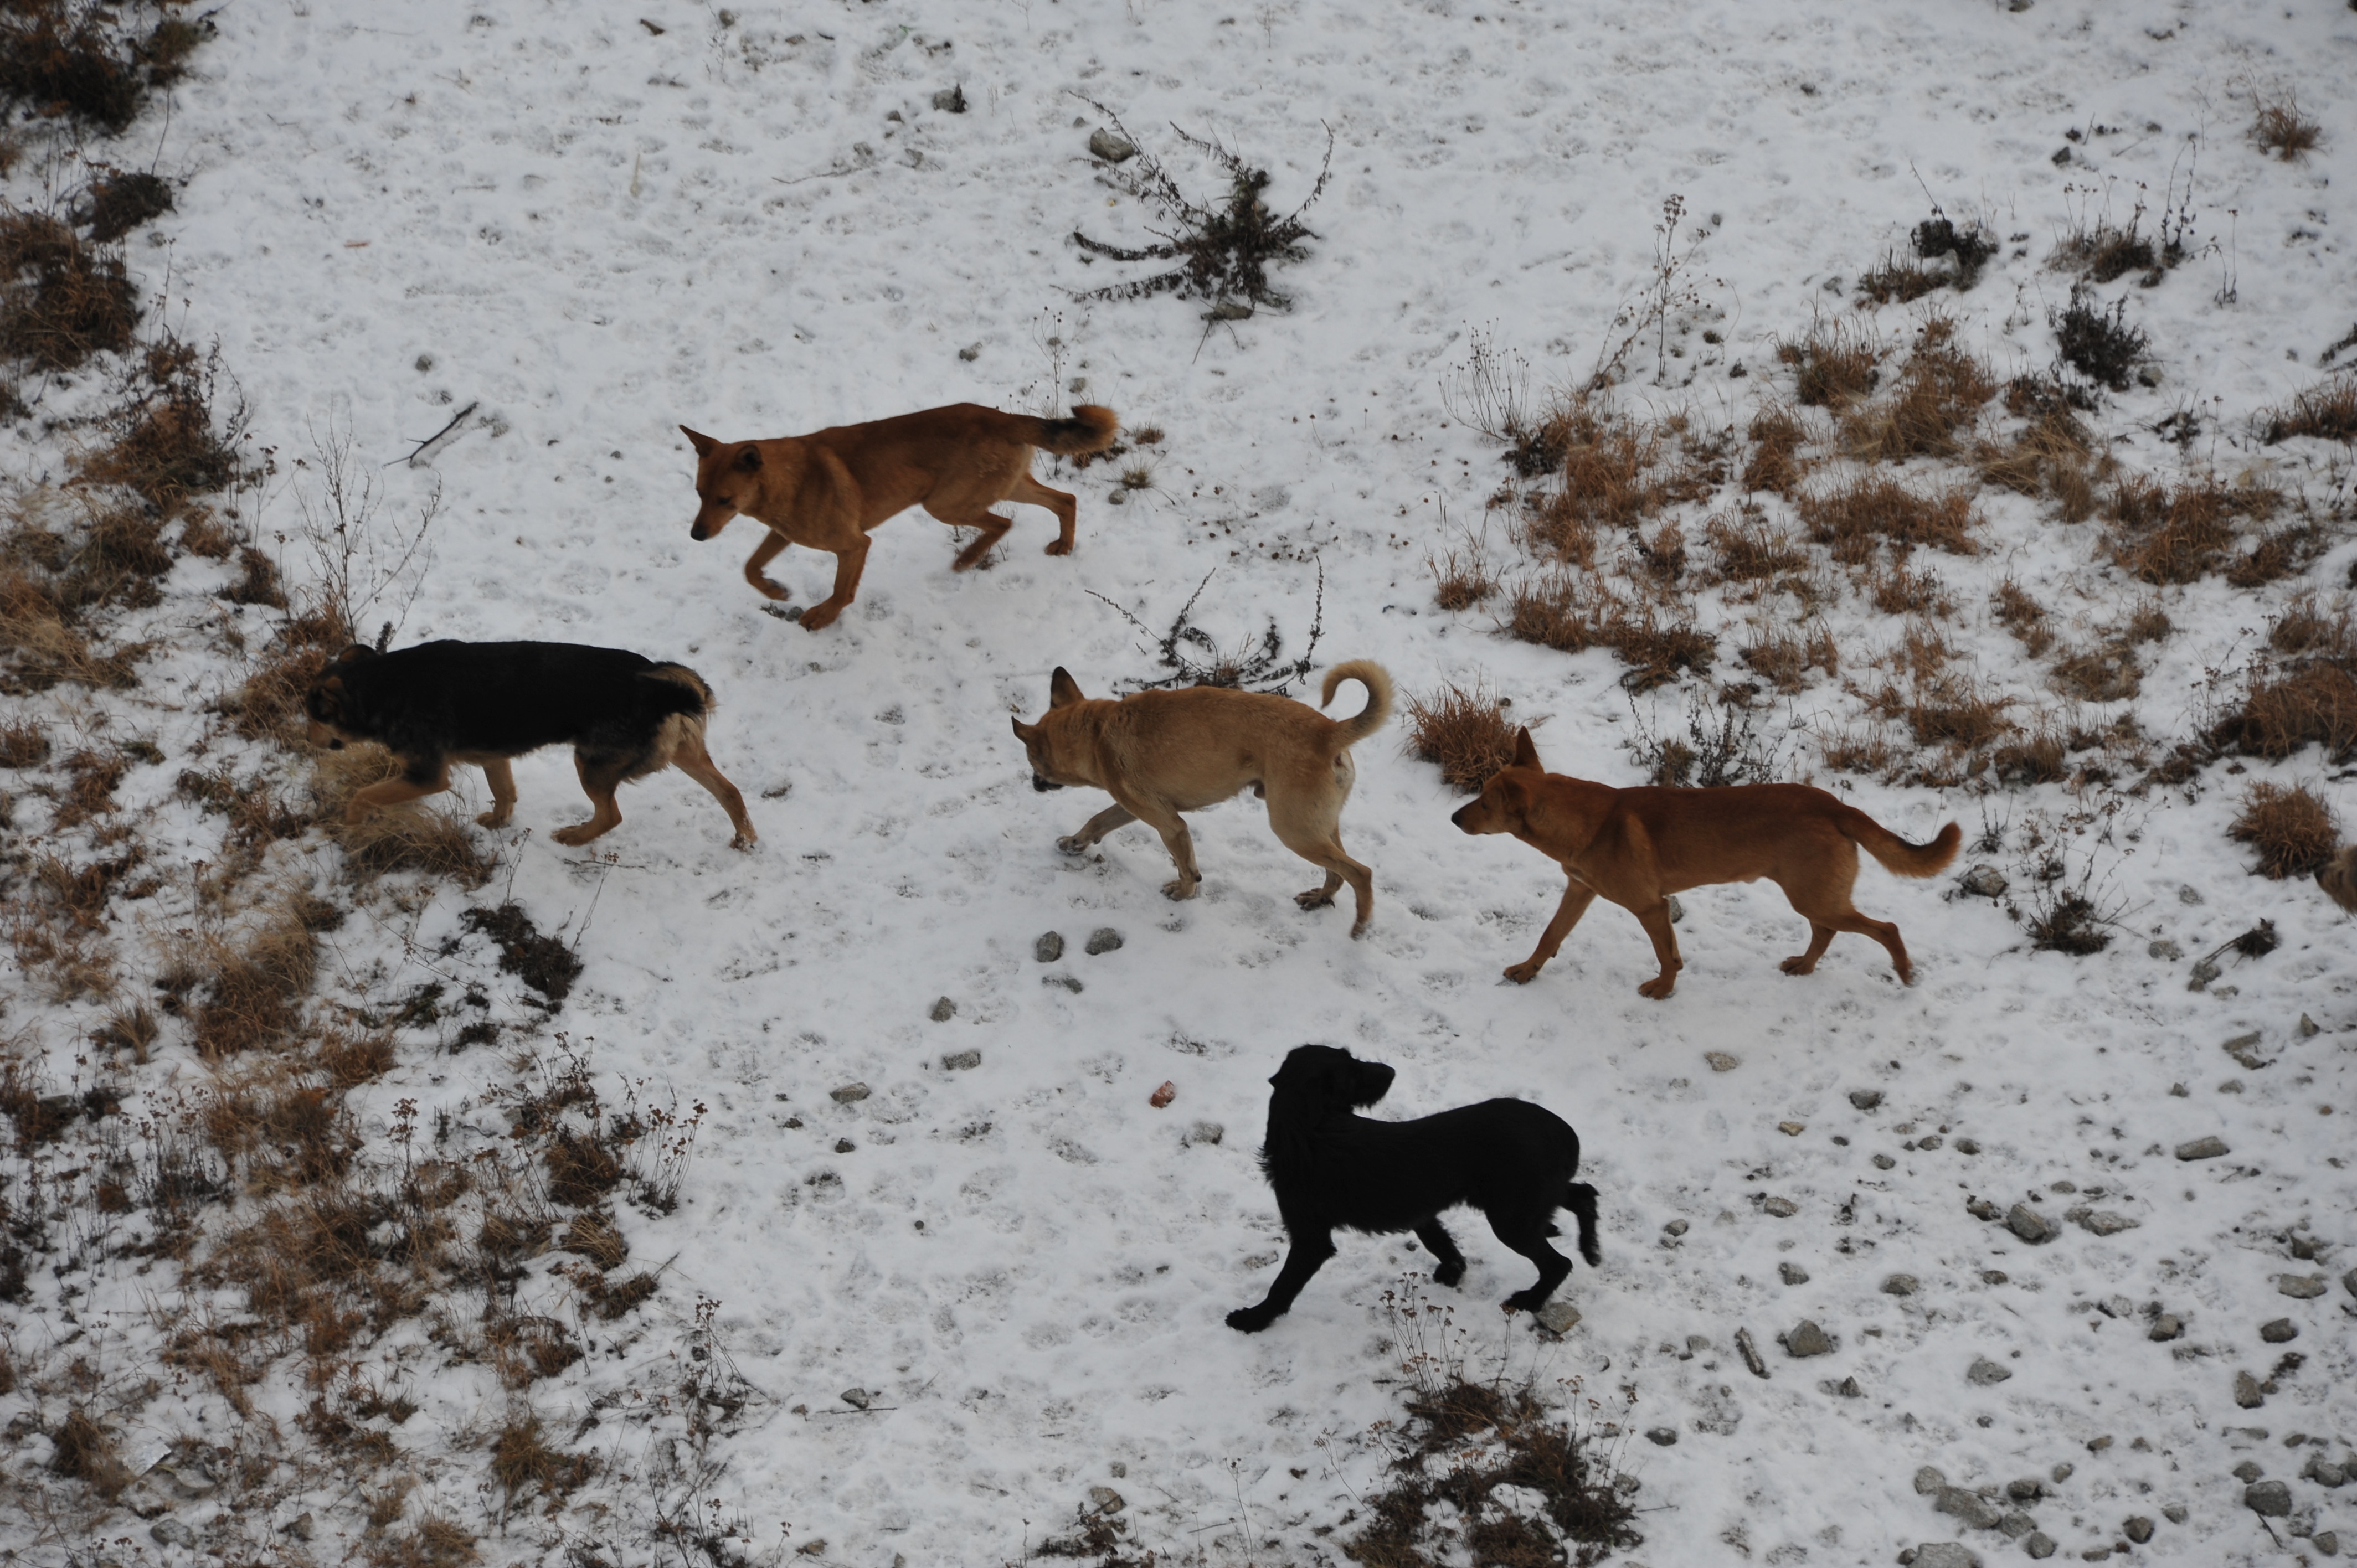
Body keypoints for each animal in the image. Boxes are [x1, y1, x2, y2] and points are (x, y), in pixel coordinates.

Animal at [299, 641, 749, 849]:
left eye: (314, 717)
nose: (306, 741)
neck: (383, 685)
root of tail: (662, 690)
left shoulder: (426, 776)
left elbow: (364, 795)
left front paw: (350, 823)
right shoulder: (494, 756)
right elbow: (503, 793)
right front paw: (498, 823)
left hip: (590, 765)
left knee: (612, 815)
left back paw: (576, 837)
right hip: (685, 755)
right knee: (731, 792)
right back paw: (746, 840)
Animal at [683, 400, 1121, 627]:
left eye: (724, 500)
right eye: (700, 494)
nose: (696, 536)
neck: (787, 479)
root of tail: (1004, 417)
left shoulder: (854, 545)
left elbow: (842, 591)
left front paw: (822, 617)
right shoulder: (783, 533)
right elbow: (750, 567)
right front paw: (776, 591)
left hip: (945, 505)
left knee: (1004, 522)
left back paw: (966, 559)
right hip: (1005, 487)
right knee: (1065, 501)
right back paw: (1063, 546)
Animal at [1018, 655, 1395, 929]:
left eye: (1033, 762)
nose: (1033, 785)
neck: (1096, 732)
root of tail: (1328, 731)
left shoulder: (1170, 825)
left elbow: (1187, 867)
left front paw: (1184, 893)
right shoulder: (1134, 807)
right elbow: (1096, 822)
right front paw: (1073, 844)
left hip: (1294, 830)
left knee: (1361, 873)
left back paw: (1360, 926)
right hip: (1318, 826)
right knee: (1338, 873)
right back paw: (1320, 898)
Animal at [1235, 1037, 1603, 1329]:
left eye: (1353, 1061)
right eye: (1352, 1072)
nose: (1390, 1071)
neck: (1307, 1131)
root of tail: (1563, 1132)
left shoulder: (1310, 1240)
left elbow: (1282, 1286)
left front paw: (1252, 1320)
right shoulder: (1422, 1212)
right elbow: (1440, 1242)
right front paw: (1454, 1271)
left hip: (1511, 1217)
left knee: (1559, 1263)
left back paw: (1531, 1299)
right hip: (1525, 1201)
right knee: (1584, 1195)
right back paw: (1591, 1250)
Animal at [1442, 726, 1960, 995]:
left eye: (1484, 803)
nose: (1452, 818)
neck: (1585, 822)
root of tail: (1835, 805)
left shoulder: (1650, 907)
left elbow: (1666, 955)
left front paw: (1662, 990)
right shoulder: (1580, 890)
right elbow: (1550, 936)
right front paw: (1527, 971)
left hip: (1814, 896)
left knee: (1885, 928)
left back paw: (1904, 973)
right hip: (1813, 896)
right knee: (1826, 932)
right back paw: (1804, 967)